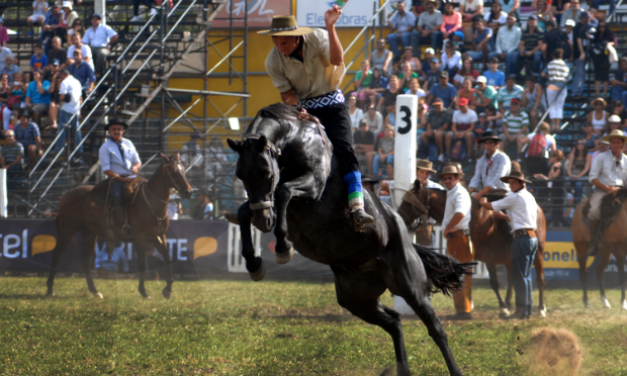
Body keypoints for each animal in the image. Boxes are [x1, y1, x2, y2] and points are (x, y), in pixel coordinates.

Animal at [45, 153, 193, 300]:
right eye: (174, 172)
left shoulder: (158, 236)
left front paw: (167, 290)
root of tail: (66, 195)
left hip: (89, 233)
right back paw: (50, 290)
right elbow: (142, 263)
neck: (151, 204)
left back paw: (94, 291)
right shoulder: (140, 238)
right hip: (68, 229)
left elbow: (167, 257)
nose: (188, 192)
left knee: (85, 260)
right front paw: (144, 292)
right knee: (57, 254)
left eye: (184, 171)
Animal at [228, 103, 474, 376]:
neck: (296, 140)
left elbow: (283, 191)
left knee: (436, 329)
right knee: (393, 322)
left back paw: (455, 370)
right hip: (357, 299)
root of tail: (409, 244)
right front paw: (253, 263)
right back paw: (402, 370)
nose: (263, 221)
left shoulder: (313, 187)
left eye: (265, 173)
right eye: (240, 174)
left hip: (411, 286)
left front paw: (282, 247)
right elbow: (244, 212)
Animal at [400, 181, 548, 316]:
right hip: (510, 257)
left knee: (540, 279)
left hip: (538, 253)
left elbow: (494, 283)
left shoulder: (489, 257)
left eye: (407, 203)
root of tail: (539, 208)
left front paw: (502, 308)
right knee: (512, 279)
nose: (398, 217)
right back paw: (512, 303)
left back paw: (540, 308)